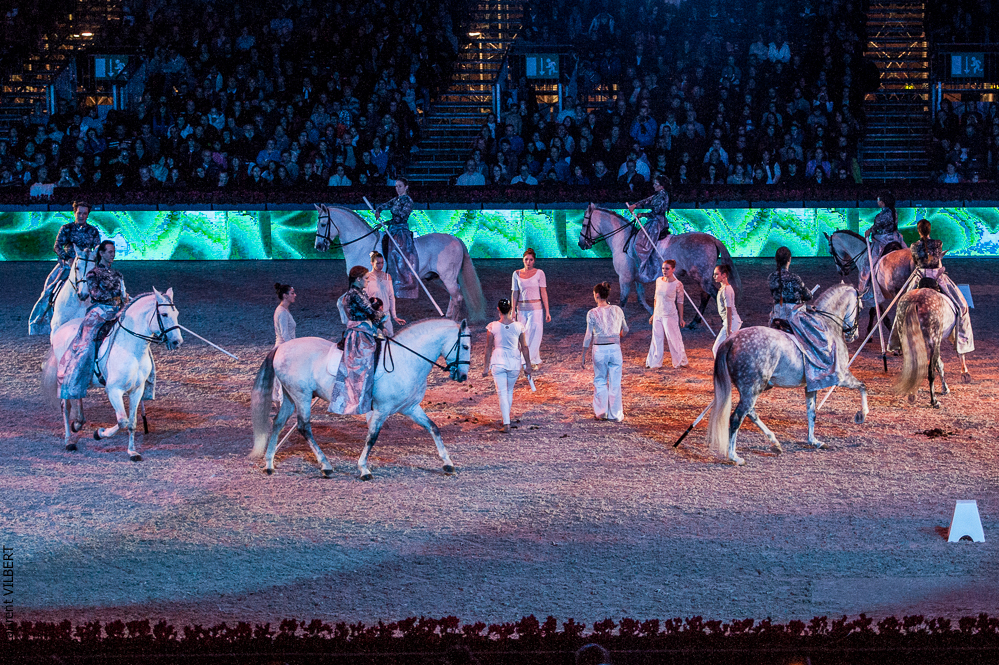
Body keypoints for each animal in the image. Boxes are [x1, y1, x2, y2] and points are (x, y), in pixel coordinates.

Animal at [42, 289, 184, 461]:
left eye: (176, 313)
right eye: (164, 314)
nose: (177, 342)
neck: (131, 348)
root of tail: (61, 329)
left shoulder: (137, 390)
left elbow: (132, 423)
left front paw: (132, 452)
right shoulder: (114, 390)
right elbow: (122, 421)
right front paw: (99, 433)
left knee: (78, 396)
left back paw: (78, 423)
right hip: (65, 378)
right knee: (65, 407)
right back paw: (69, 441)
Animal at [250, 318, 470, 480]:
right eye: (466, 347)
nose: (462, 376)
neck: (406, 360)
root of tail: (281, 348)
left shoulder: (410, 408)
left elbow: (433, 427)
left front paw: (448, 463)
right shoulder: (382, 410)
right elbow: (372, 437)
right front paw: (364, 469)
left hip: (290, 396)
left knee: (278, 423)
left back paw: (269, 464)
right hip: (302, 396)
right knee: (304, 427)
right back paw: (326, 466)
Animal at [315, 204, 486, 322]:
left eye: (323, 224)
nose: (319, 246)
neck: (361, 245)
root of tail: (456, 239)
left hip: (447, 277)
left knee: (457, 296)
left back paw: (453, 321)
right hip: (437, 278)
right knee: (454, 295)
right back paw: (448, 318)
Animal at [578, 204, 741, 324]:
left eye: (585, 222)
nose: (581, 243)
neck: (623, 240)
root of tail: (713, 239)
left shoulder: (624, 278)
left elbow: (623, 301)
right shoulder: (637, 279)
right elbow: (641, 298)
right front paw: (653, 313)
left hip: (702, 278)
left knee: (713, 294)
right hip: (703, 278)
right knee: (705, 296)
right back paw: (695, 322)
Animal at [706, 284, 868, 465]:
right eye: (860, 307)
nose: (853, 334)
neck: (827, 325)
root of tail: (731, 340)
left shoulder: (811, 385)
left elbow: (811, 413)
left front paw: (814, 441)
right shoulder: (841, 376)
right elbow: (862, 386)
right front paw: (861, 415)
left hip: (751, 389)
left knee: (751, 413)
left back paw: (775, 443)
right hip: (752, 389)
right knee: (736, 418)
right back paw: (735, 456)